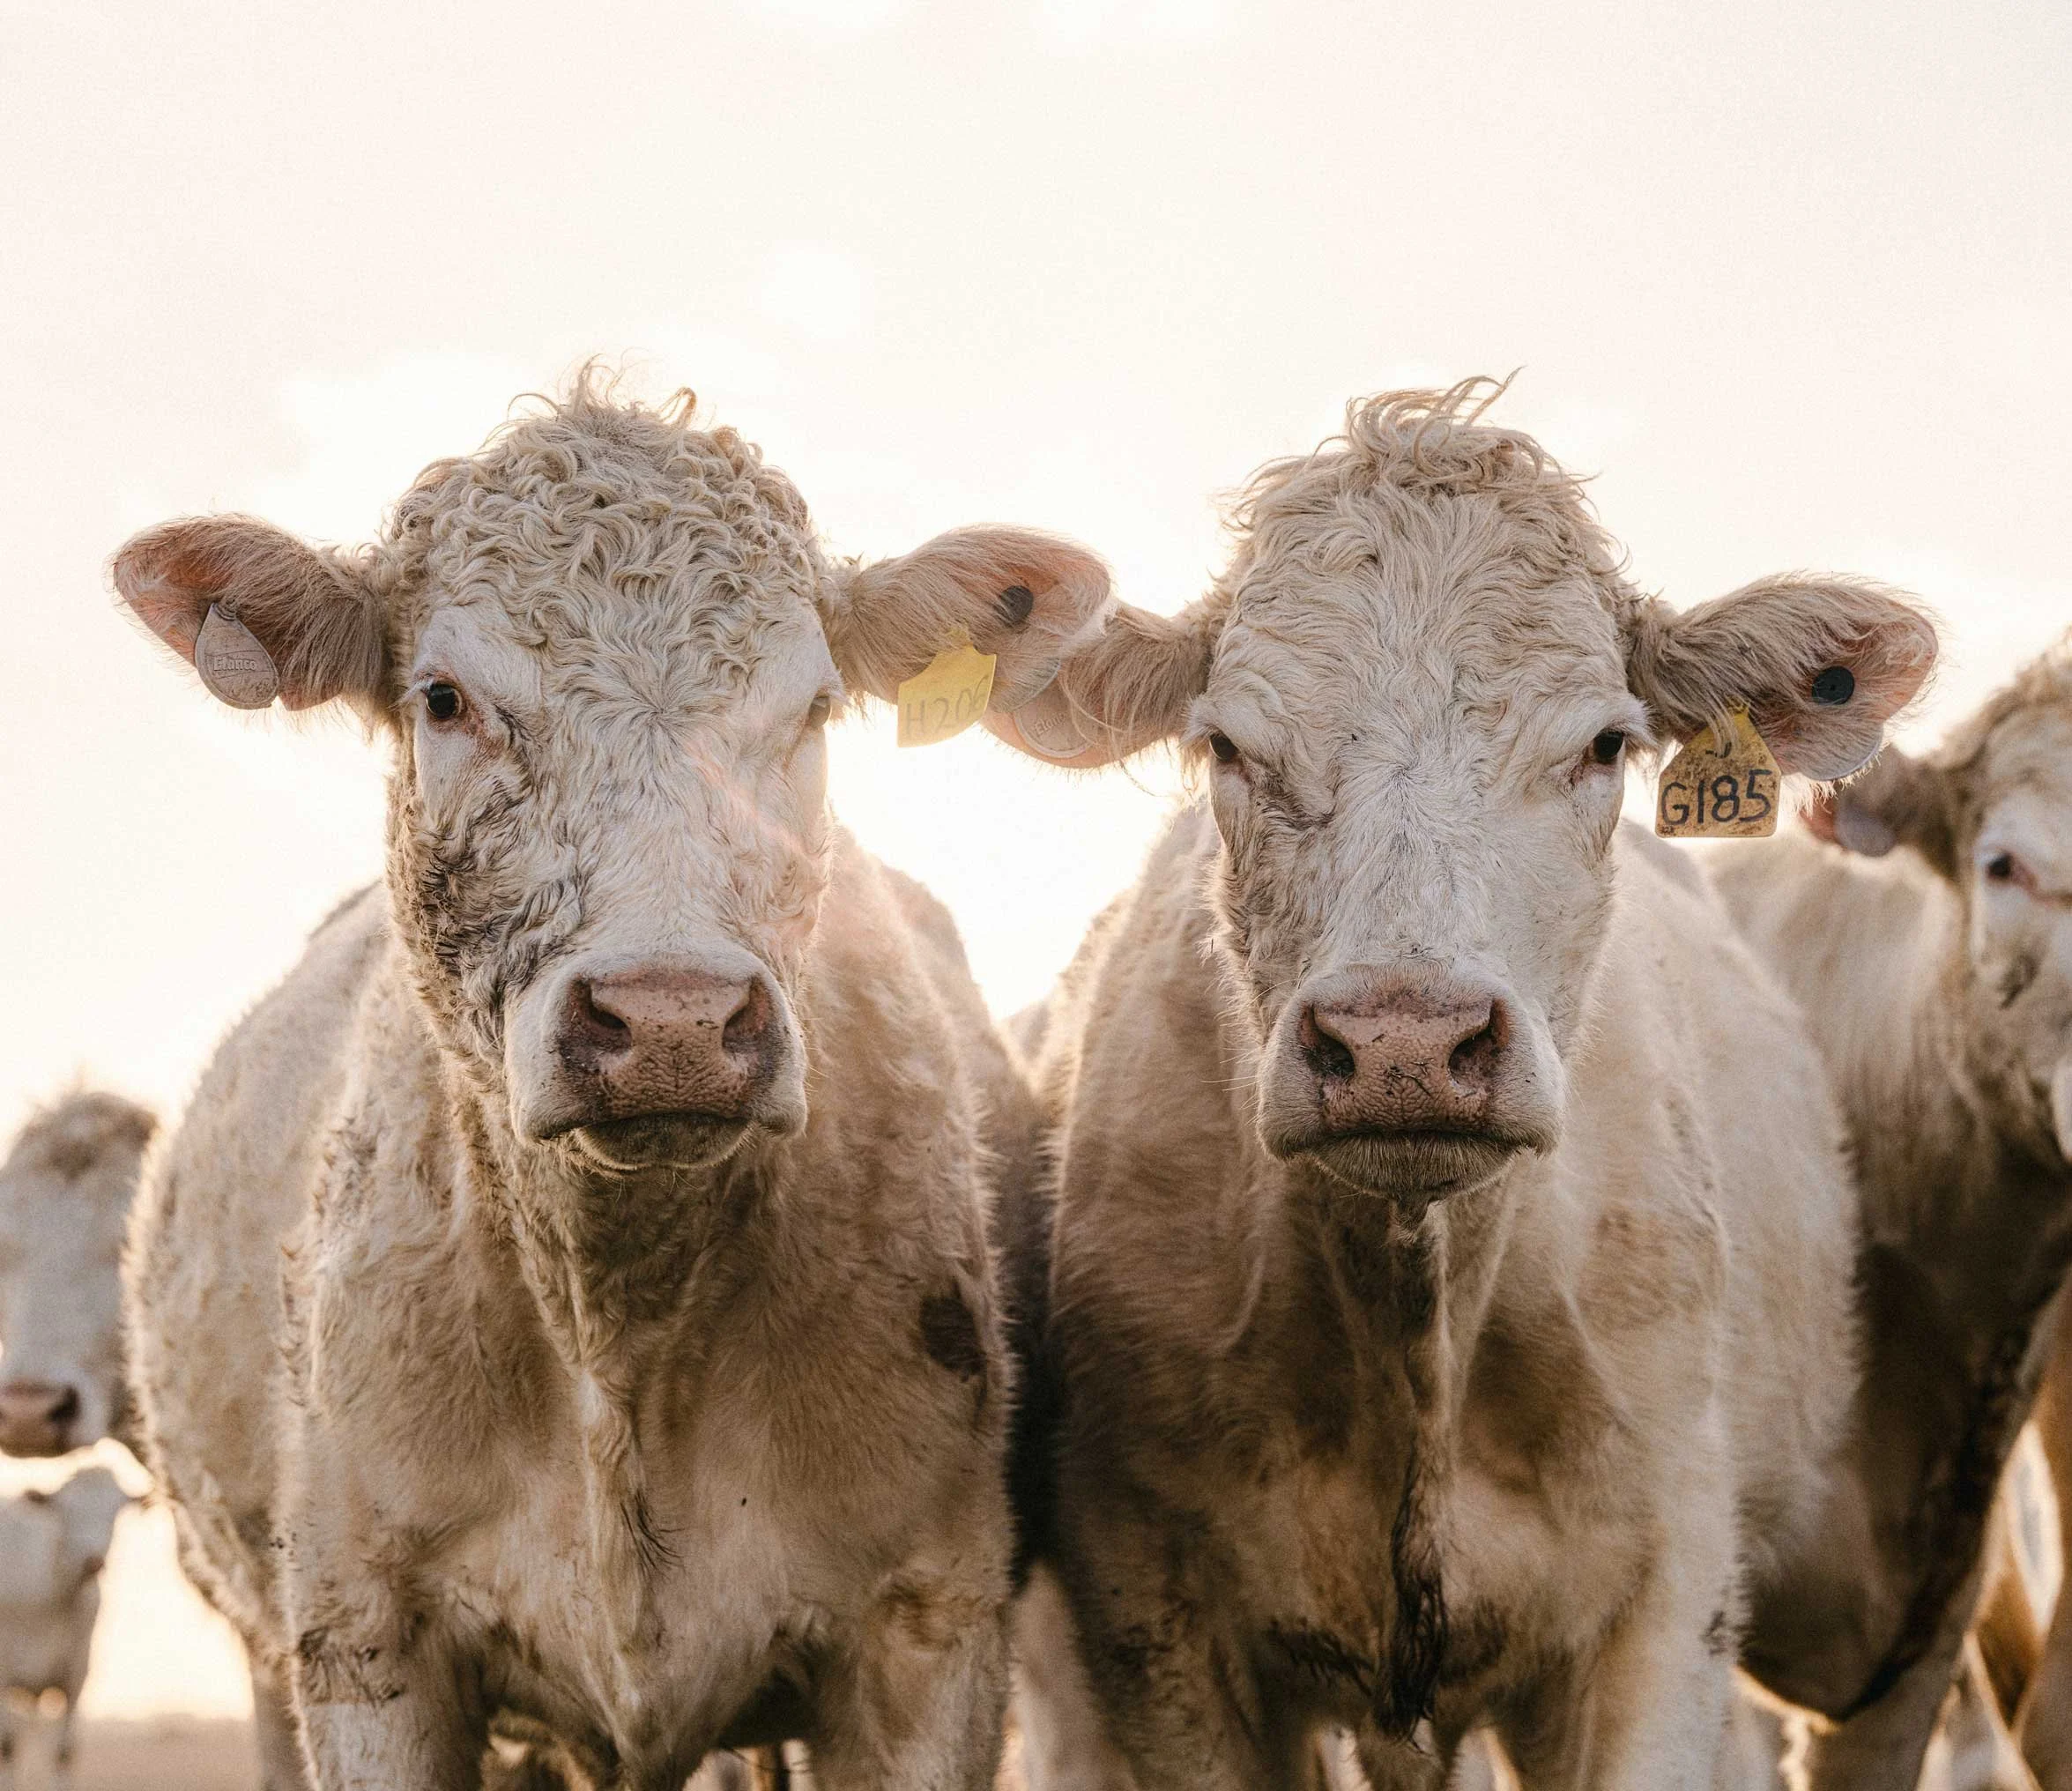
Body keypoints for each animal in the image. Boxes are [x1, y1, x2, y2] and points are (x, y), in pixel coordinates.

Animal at [0, 1463, 134, 1790]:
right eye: (66, 1510)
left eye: (116, 1511)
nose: (93, 1561)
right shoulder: (4, 1670)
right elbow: (8, 1745)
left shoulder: (77, 1671)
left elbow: (65, 1751)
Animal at [110, 375, 1106, 1791]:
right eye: (443, 698)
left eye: (813, 708)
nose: (671, 1016)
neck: (620, 1328)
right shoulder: (365, 1643)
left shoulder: (928, 1635)